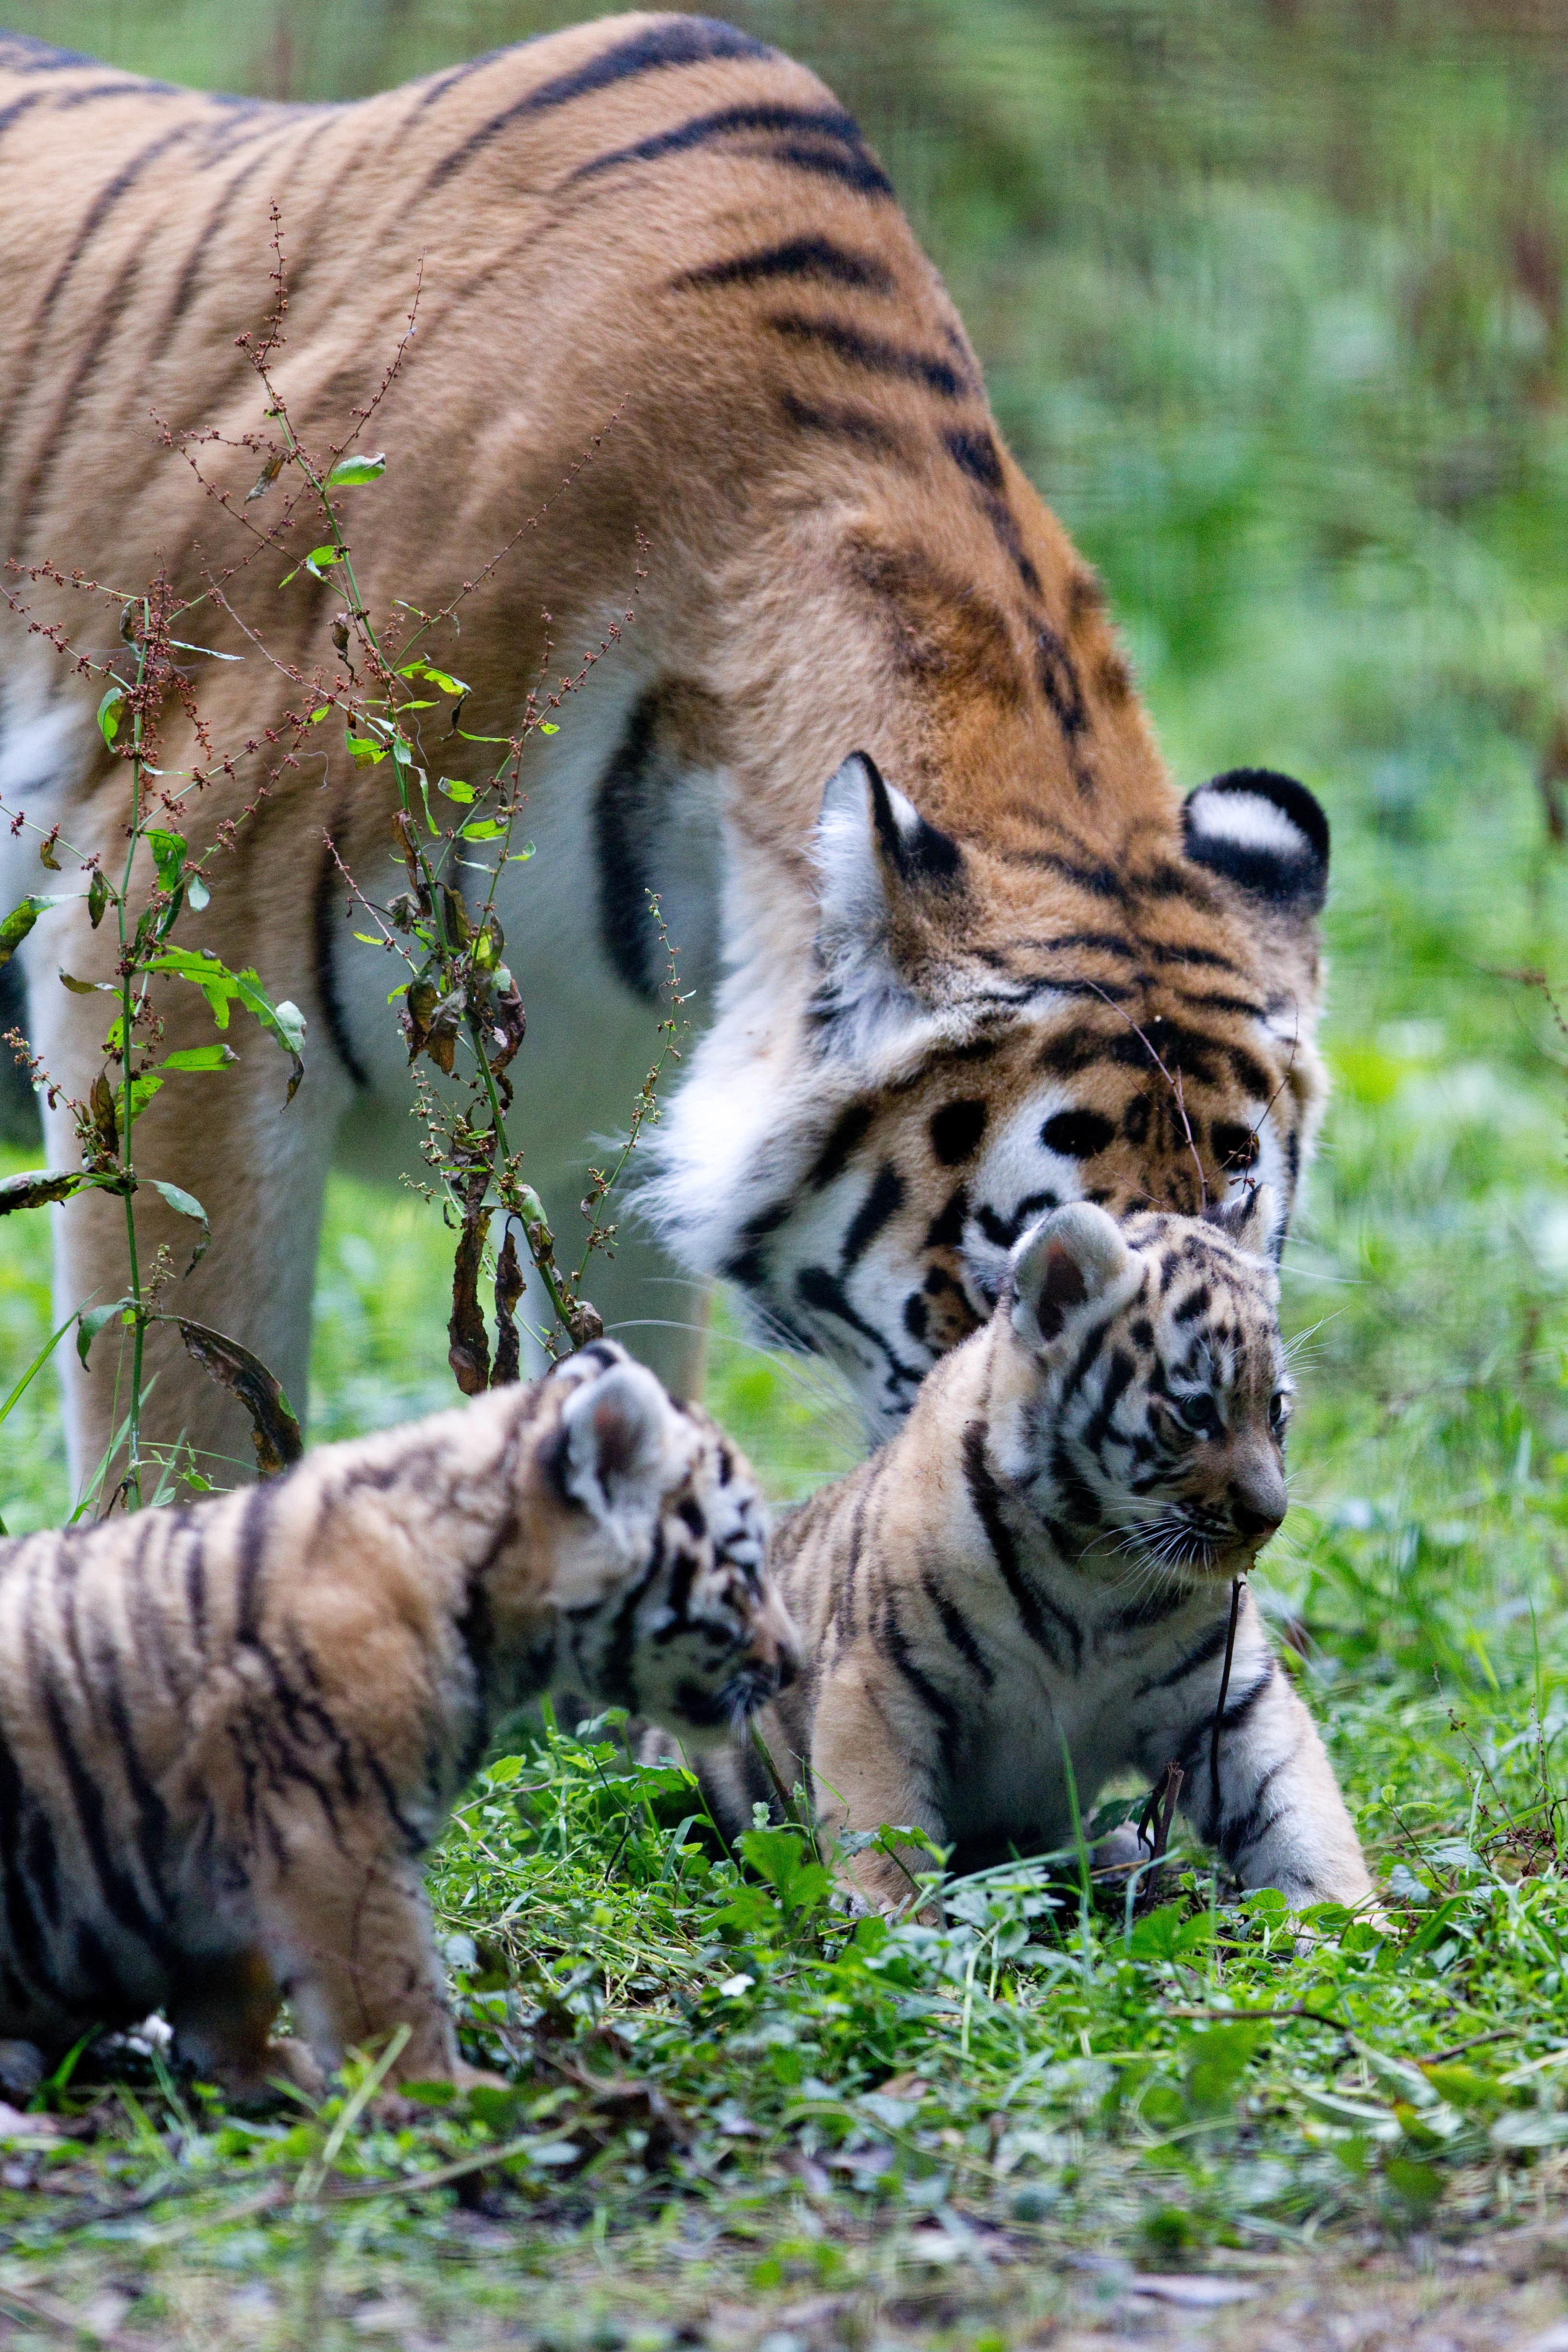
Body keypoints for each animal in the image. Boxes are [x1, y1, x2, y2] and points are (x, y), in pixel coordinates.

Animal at [0, 16, 1331, 1491]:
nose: (1194, 1535)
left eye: (1239, 1266)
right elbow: (180, 1444)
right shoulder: (171, 965)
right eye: (1023, 1286)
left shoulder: (604, 1129)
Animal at [0, 1339, 792, 2099]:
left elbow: (240, 1980)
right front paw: (436, 2088)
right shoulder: (334, 1833)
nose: (794, 1664)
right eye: (746, 1571)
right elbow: (389, 1984)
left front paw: (255, 2068)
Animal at [690, 1189, 1374, 1919]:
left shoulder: (1231, 1702)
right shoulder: (882, 1679)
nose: (1270, 1518)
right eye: (1195, 1411)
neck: (1098, 1567)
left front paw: (1345, 1916)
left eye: (1275, 1408)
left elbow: (1298, 1807)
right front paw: (889, 1916)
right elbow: (881, 1817)